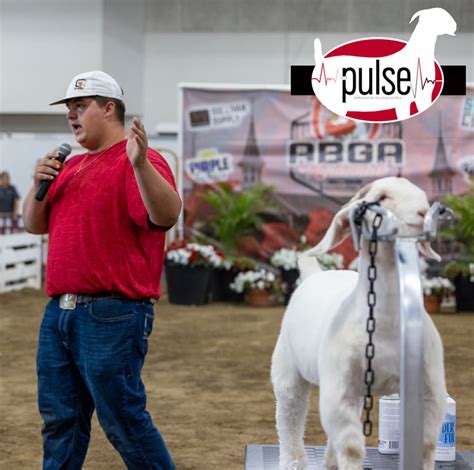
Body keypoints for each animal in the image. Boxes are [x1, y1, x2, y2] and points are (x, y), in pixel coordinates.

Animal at [272, 177, 446, 470]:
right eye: (382, 197)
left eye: (424, 196)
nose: (423, 214)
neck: (386, 327)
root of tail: (314, 274)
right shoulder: (338, 390)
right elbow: (352, 448)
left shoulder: (430, 390)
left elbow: (426, 446)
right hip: (287, 366)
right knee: (290, 414)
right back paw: (293, 462)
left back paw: (329, 461)